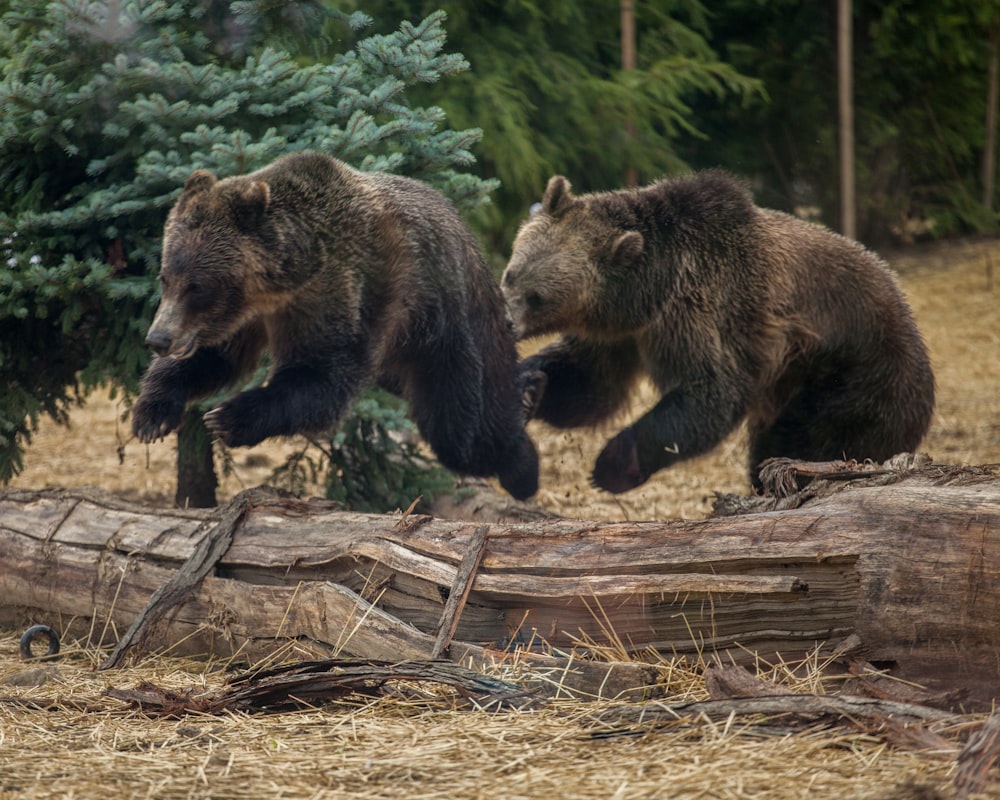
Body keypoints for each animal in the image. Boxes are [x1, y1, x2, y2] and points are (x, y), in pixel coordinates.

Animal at [135, 151, 540, 500]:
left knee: (460, 426)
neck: (279, 288)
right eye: (165, 277)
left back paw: (524, 459)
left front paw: (227, 417)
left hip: (450, 323)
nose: (158, 339)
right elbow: (214, 358)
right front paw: (152, 415)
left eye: (197, 286)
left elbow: (323, 374)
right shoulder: (243, 318)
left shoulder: (336, 291)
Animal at [504, 172, 940, 490]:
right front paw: (527, 386)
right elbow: (591, 384)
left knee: (811, 440)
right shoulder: (620, 335)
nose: (507, 322)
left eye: (537, 298)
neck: (646, 293)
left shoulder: (700, 311)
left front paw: (611, 464)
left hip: (852, 379)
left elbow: (711, 393)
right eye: (511, 275)